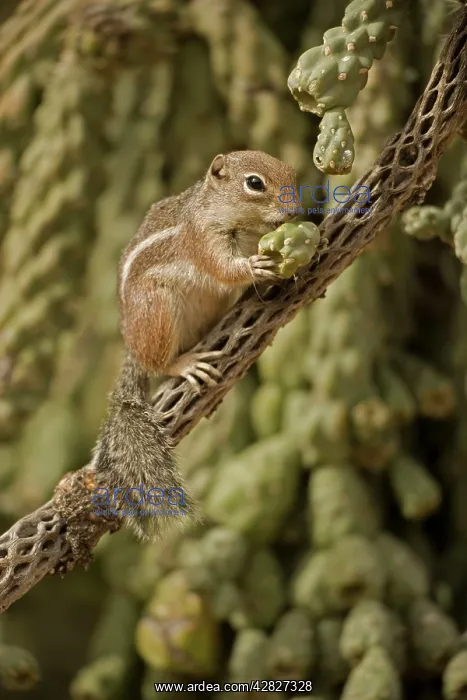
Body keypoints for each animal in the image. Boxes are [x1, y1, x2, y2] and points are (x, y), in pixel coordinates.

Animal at [91, 150, 298, 540]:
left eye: (290, 171)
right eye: (255, 183)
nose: (295, 211)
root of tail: (133, 348)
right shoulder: (202, 240)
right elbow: (224, 268)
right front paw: (254, 267)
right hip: (157, 312)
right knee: (158, 363)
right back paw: (185, 364)